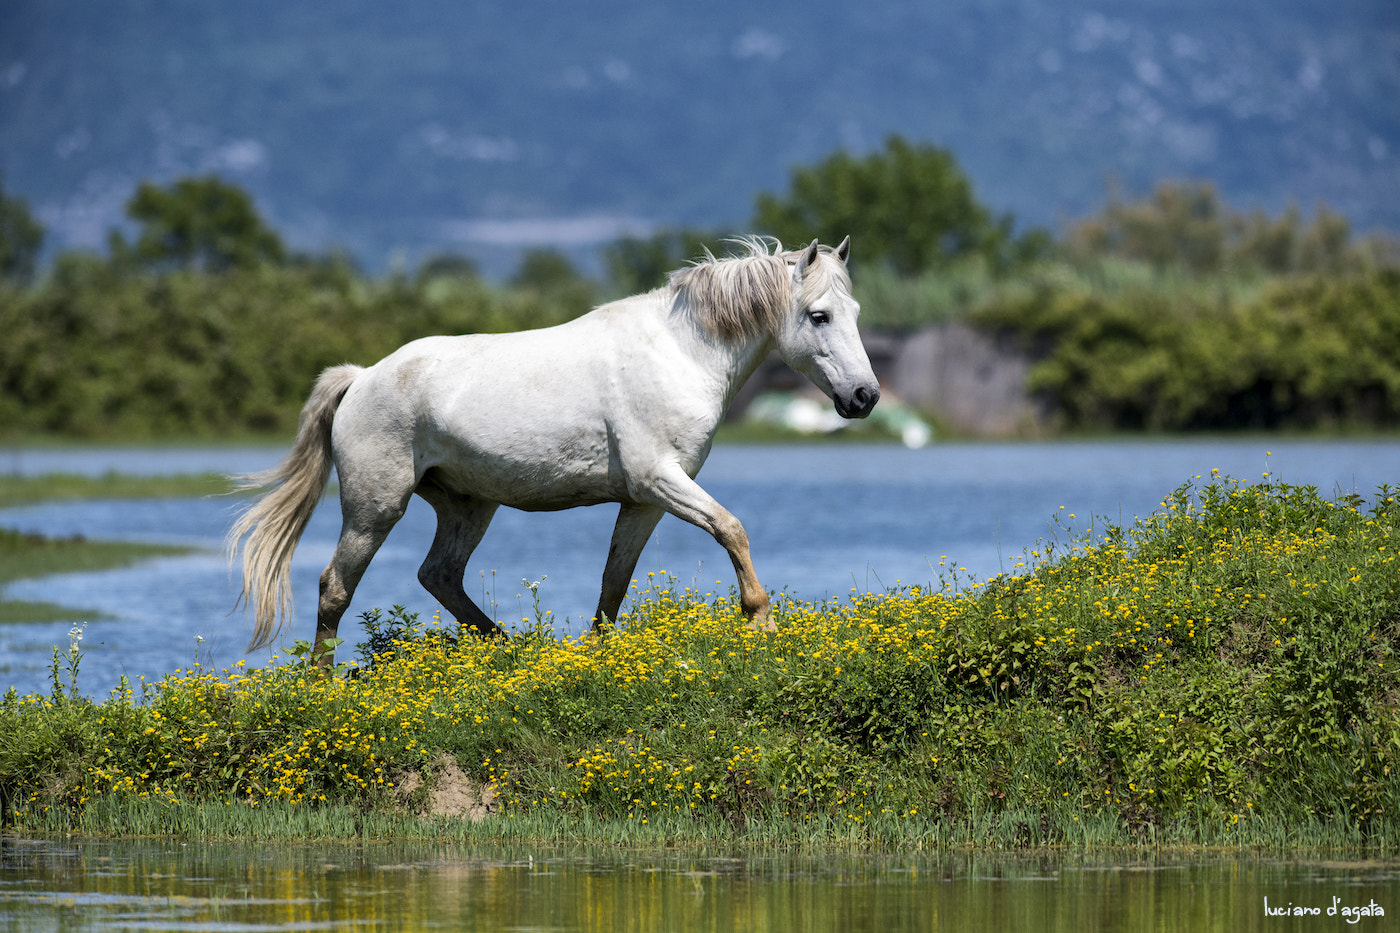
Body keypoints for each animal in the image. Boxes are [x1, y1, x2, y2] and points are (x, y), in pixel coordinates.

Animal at [228, 236, 879, 661]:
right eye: (819, 315)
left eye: (855, 312)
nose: (865, 396)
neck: (680, 353)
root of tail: (362, 378)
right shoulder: (660, 480)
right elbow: (732, 529)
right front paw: (760, 621)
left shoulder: (645, 502)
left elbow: (613, 584)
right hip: (375, 508)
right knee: (335, 588)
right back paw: (324, 683)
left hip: (469, 506)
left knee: (439, 575)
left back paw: (509, 651)